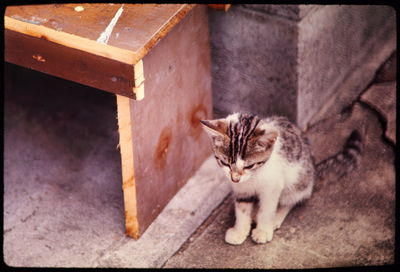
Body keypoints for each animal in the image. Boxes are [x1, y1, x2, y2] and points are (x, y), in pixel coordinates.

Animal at [200, 112, 362, 244]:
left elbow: (267, 209)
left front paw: (263, 229)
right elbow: (242, 208)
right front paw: (240, 230)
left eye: (249, 166)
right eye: (225, 163)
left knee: (292, 199)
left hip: (298, 180)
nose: (234, 178)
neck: (254, 176)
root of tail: (314, 170)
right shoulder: (241, 189)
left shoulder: (273, 186)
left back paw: (275, 217)